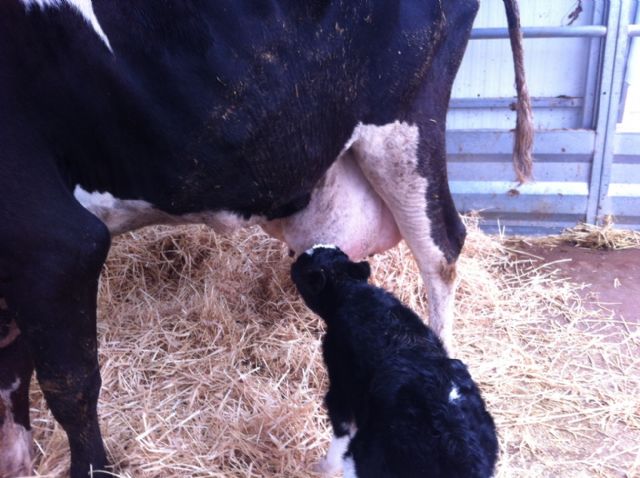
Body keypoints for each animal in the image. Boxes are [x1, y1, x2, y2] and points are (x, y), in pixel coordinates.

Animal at [0, 1, 528, 476]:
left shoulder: (56, 243)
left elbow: (69, 385)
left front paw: (89, 468)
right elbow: (12, 365)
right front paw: (16, 455)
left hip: (404, 129)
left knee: (441, 249)